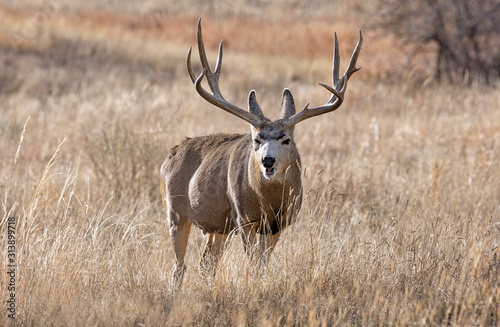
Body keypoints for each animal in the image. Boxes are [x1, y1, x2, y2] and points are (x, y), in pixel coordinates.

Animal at [162, 19, 362, 284]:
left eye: (286, 139)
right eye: (257, 139)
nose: (268, 160)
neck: (270, 201)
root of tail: (170, 156)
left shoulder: (278, 224)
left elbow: (262, 264)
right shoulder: (244, 218)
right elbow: (254, 263)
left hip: (217, 226)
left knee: (206, 262)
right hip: (175, 212)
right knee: (179, 266)